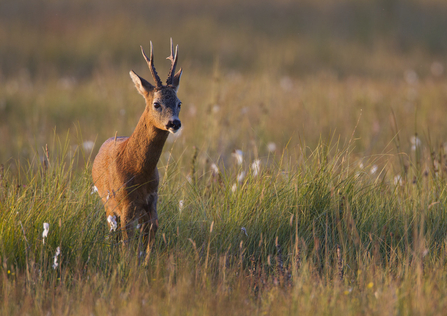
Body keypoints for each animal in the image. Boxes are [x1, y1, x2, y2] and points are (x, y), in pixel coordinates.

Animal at [92, 39, 183, 262]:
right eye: (156, 104)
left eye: (179, 103)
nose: (174, 123)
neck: (137, 169)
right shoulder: (125, 202)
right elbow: (127, 239)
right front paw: (128, 263)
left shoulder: (152, 199)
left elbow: (152, 232)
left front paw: (147, 261)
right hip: (107, 203)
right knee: (114, 233)